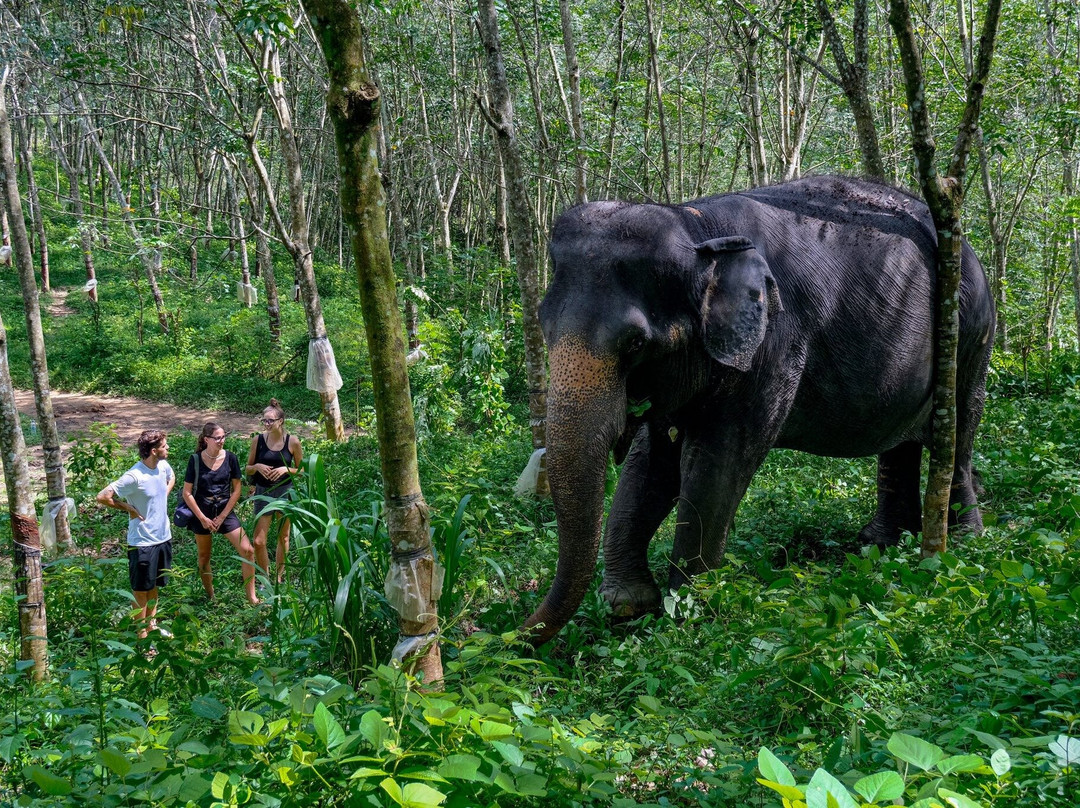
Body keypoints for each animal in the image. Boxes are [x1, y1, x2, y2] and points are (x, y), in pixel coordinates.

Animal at [522, 175, 995, 646]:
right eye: (543, 324)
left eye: (636, 343)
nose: (516, 633)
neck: (696, 225)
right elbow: (652, 463)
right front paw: (628, 606)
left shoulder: (775, 341)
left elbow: (716, 462)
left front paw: (693, 612)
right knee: (900, 444)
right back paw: (879, 544)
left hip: (972, 332)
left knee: (959, 427)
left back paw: (962, 541)